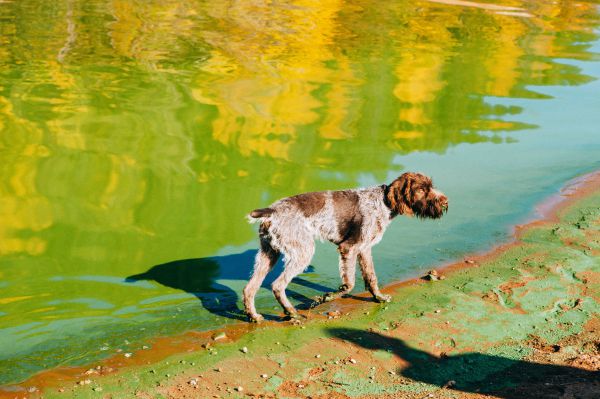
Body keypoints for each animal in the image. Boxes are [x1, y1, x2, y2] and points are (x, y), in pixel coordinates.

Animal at [243, 172, 446, 322]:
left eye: (430, 186)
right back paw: (291, 312)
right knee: (278, 285)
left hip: (268, 255)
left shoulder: (364, 249)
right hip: (303, 252)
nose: (445, 201)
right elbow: (349, 284)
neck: (384, 203)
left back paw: (254, 316)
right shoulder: (349, 247)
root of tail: (272, 211)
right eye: (421, 189)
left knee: (249, 289)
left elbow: (371, 277)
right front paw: (326, 298)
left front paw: (378, 297)